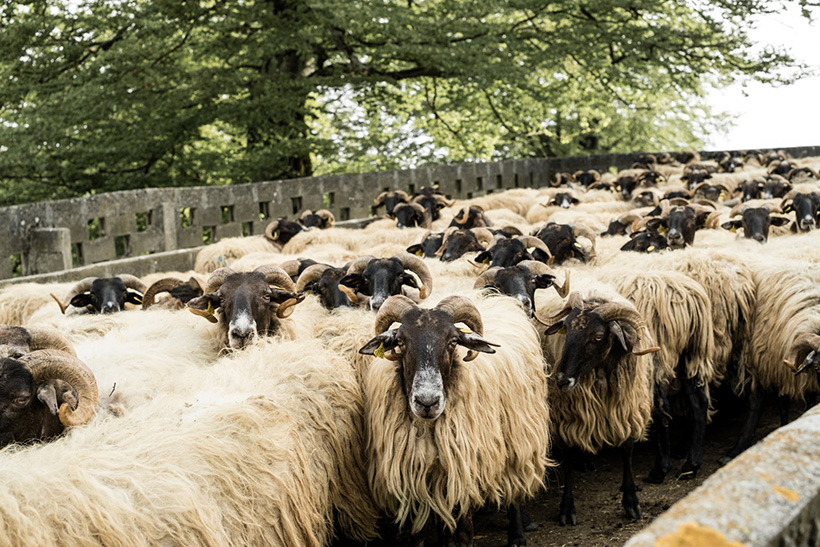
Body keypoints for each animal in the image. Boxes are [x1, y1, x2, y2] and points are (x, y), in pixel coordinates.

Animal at [360, 296, 548, 547]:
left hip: (518, 438)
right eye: (400, 341)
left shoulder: (465, 469)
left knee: (513, 490)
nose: (427, 402)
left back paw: (517, 535)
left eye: (453, 341)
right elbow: (419, 534)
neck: (429, 428)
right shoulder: (418, 476)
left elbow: (465, 530)